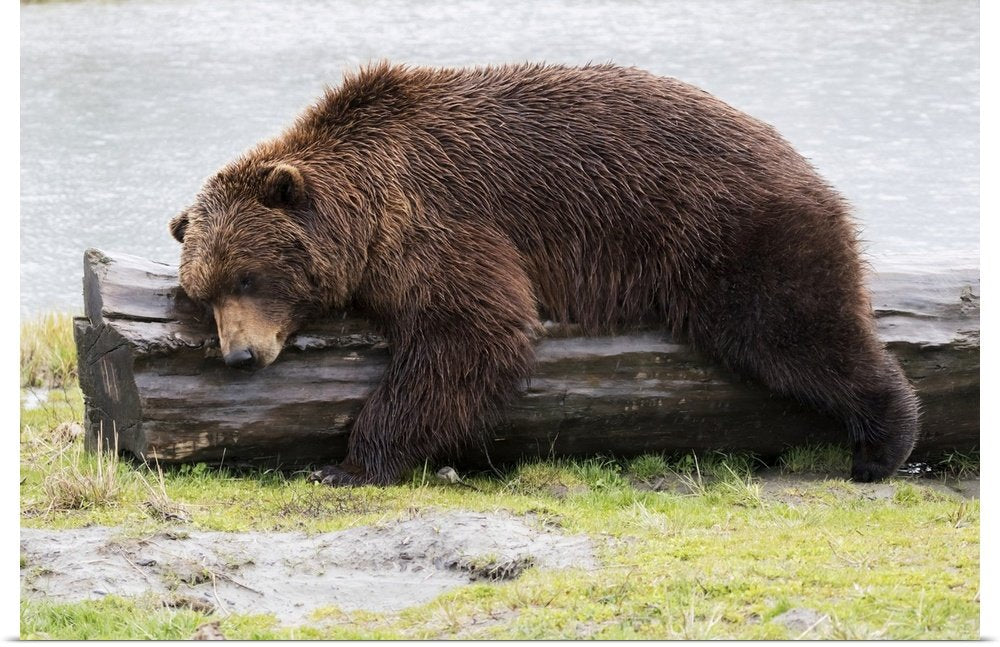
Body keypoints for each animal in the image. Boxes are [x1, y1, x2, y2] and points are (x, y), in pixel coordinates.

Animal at [169, 62, 919, 485]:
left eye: (248, 276)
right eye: (203, 292)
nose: (240, 355)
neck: (366, 212)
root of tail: (798, 157)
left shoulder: (439, 220)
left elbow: (469, 331)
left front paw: (347, 463)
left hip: (729, 231)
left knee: (793, 326)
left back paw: (882, 442)